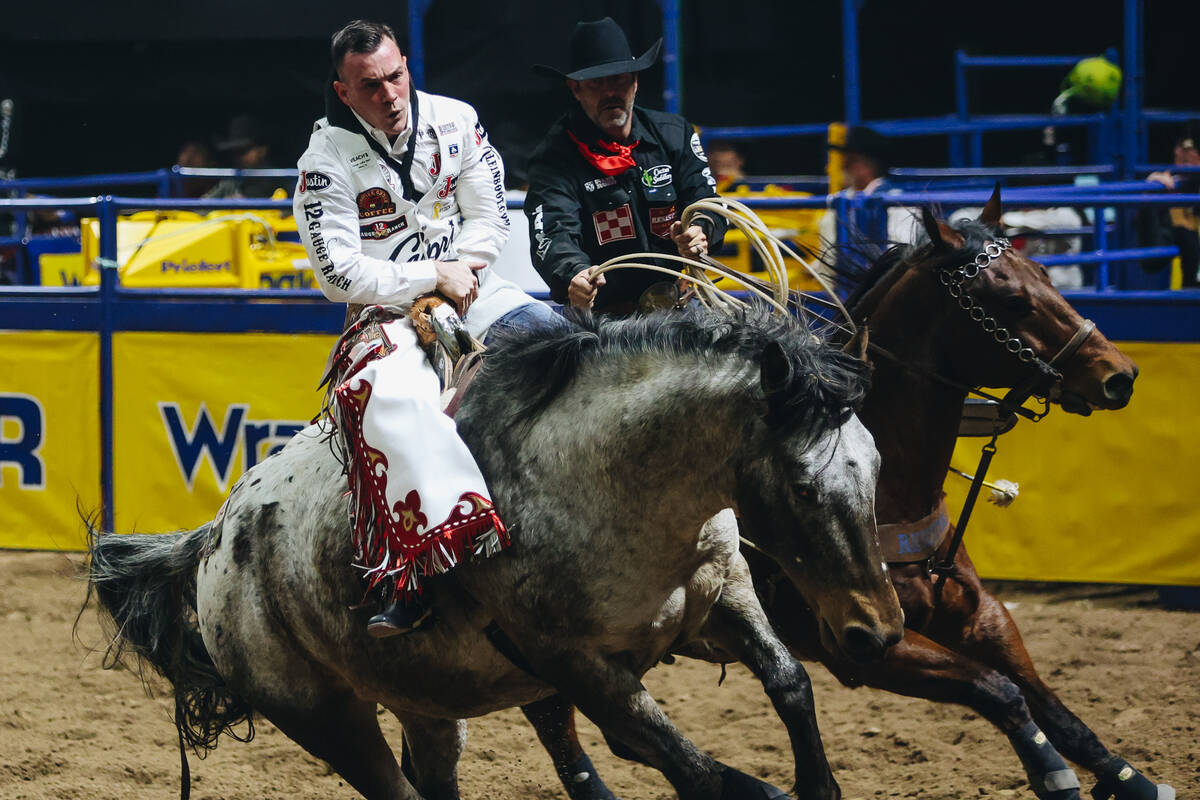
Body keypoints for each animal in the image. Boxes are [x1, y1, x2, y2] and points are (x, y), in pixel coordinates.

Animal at [87, 309, 902, 800]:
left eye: (876, 463)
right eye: (802, 485)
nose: (879, 630)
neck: (605, 476)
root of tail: (211, 542)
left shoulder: (725, 592)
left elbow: (790, 682)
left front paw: (819, 783)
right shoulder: (576, 665)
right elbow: (690, 766)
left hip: (425, 703)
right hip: (327, 719)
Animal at [518, 191, 1171, 800]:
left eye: (1044, 274)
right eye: (1010, 300)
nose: (1119, 375)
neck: (888, 496)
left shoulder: (979, 614)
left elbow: (1051, 703)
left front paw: (1129, 776)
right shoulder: (864, 647)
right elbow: (1001, 691)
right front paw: (1050, 771)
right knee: (561, 721)